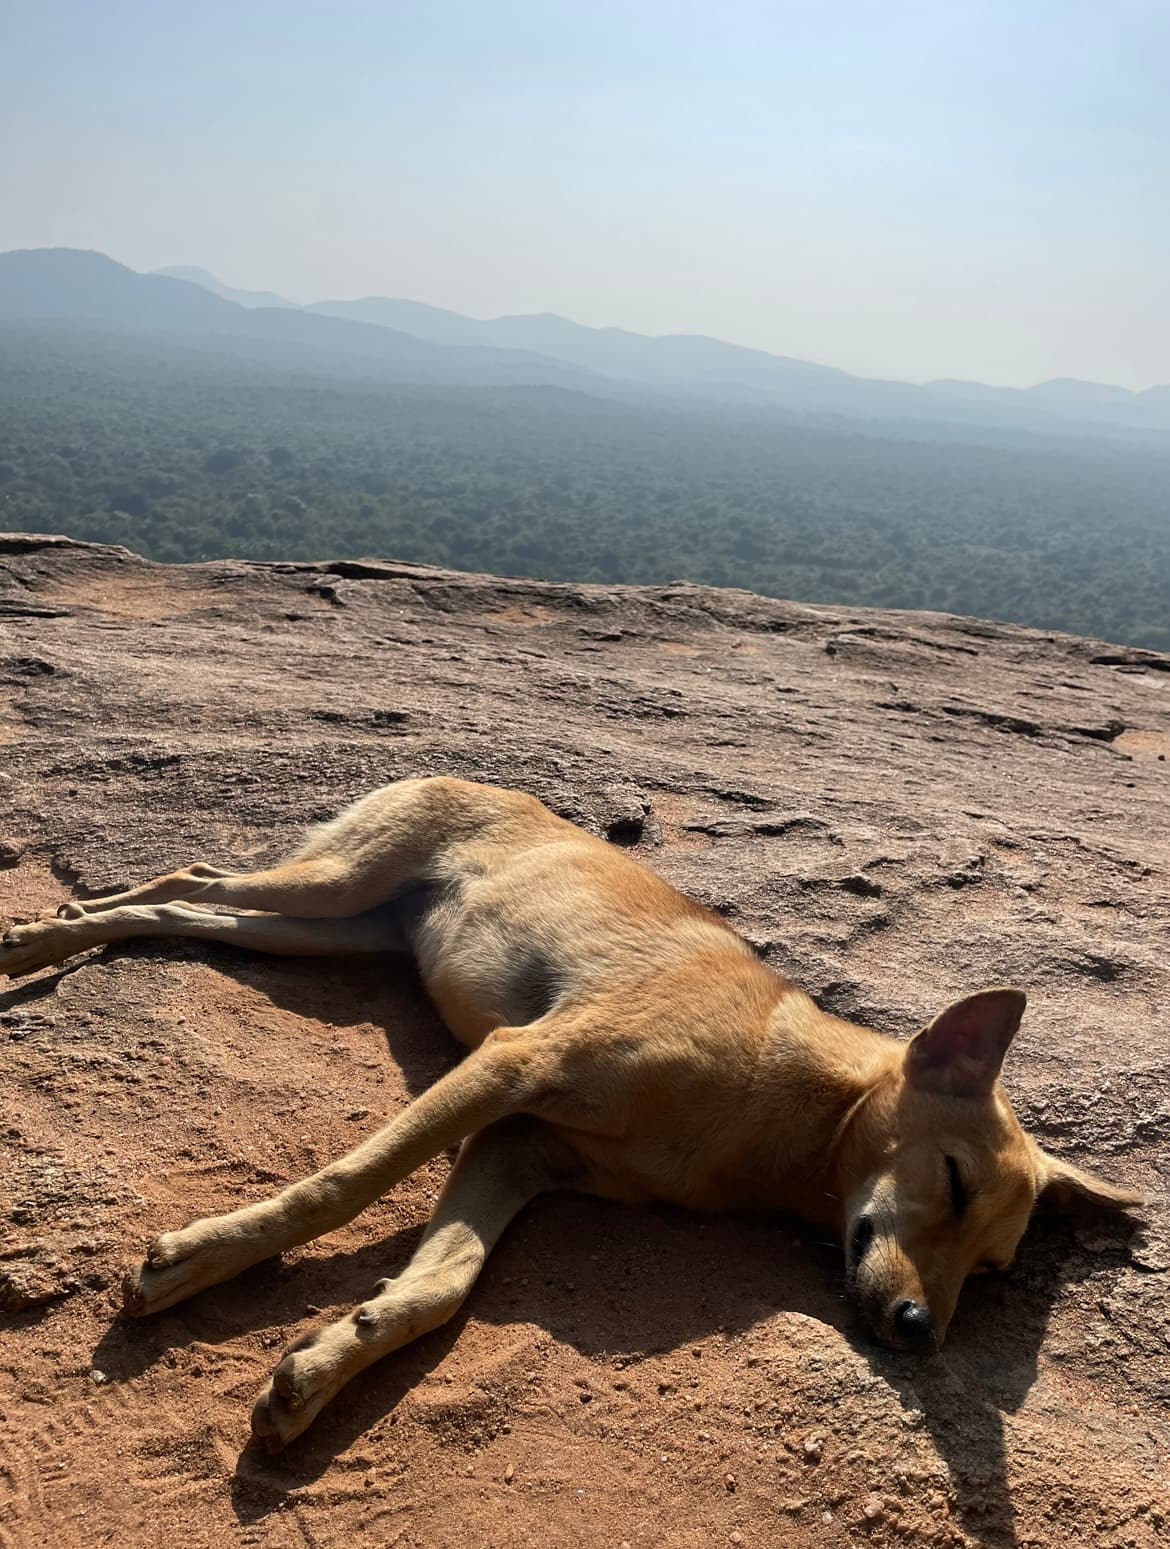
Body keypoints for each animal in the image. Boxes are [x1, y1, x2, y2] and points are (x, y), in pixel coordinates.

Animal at [0, 774, 1140, 1449]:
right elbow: (344, 1183)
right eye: (951, 1181)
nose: (917, 1334)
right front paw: (200, 1259)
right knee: (191, 876)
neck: (785, 1113)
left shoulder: (522, 1146)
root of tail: (467, 771)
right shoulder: (516, 1063)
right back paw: (38, 938)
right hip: (335, 886)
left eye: (994, 1271)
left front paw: (326, 1365)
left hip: (336, 931)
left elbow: (442, 1285)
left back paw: (69, 925)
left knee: (192, 899)